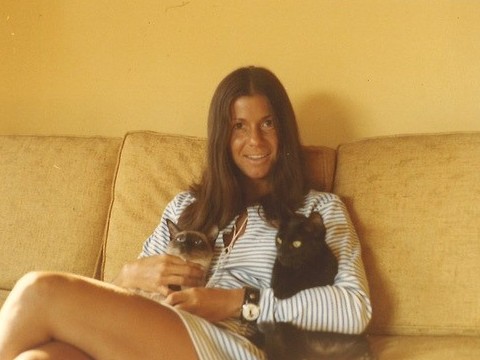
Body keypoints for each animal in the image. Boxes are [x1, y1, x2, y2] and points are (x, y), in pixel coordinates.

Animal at [262, 212, 376, 358]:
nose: (281, 253)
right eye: (279, 240)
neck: (298, 268)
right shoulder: (278, 270)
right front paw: (279, 287)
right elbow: (277, 279)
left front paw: (282, 291)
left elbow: (305, 281)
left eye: (296, 244)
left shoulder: (324, 274)